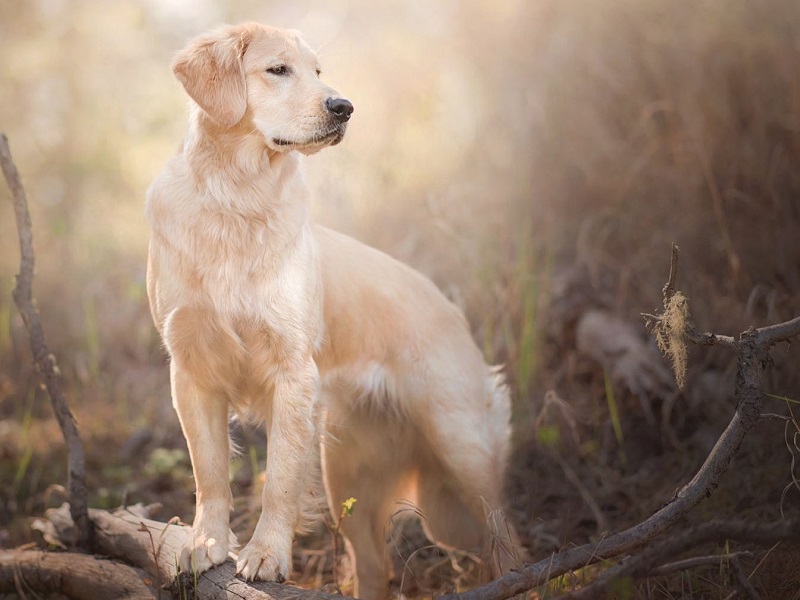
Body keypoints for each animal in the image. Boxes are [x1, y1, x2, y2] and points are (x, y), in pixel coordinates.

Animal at [145, 21, 520, 596]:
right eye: (278, 69)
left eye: (319, 70)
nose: (344, 106)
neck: (237, 197)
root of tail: (452, 310)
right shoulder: (190, 370)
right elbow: (208, 472)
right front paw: (205, 545)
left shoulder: (292, 372)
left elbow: (278, 479)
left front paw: (266, 555)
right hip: (350, 475)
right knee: (373, 565)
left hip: (462, 450)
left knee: (508, 541)